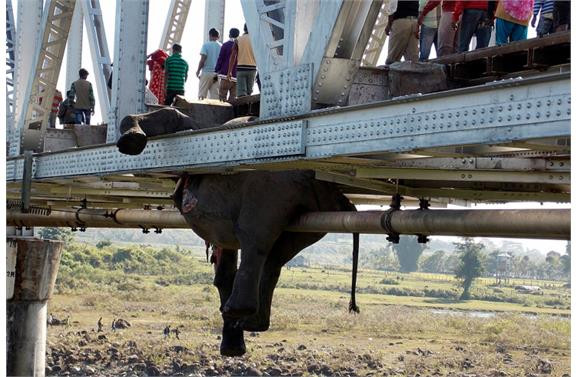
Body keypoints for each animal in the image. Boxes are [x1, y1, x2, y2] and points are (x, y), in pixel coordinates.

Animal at [116, 105, 360, 356]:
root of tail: (332, 189)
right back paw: (253, 322)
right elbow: (223, 263)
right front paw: (232, 347)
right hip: (309, 209)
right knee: (277, 252)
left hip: (268, 186)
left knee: (254, 235)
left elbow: (174, 118)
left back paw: (239, 310)